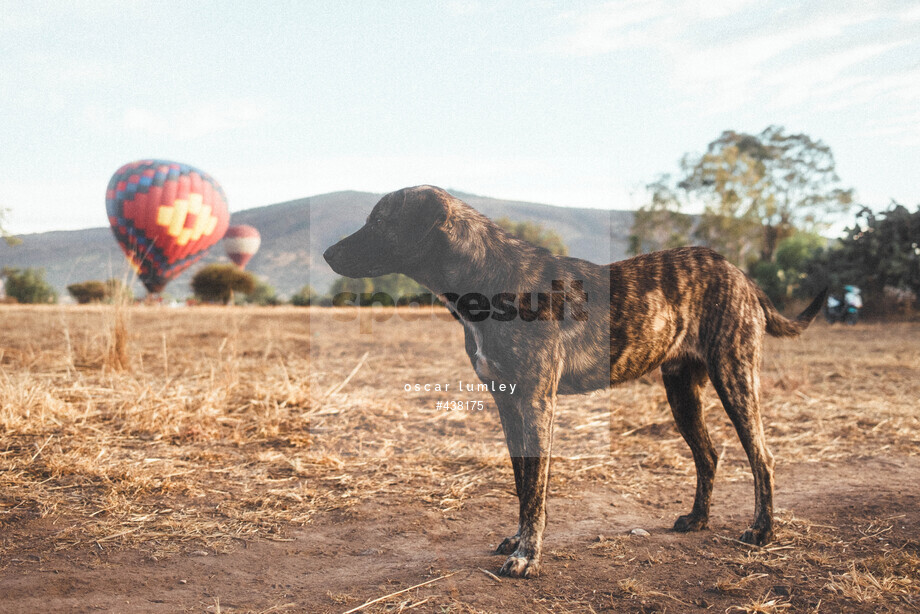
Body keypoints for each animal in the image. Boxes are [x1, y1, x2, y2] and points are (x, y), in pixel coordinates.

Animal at [326, 185, 828, 580]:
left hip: (734, 377)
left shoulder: (536, 402)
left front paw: (528, 556)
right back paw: (698, 519)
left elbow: (536, 489)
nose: (328, 254)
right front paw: (518, 539)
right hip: (682, 392)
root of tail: (739, 273)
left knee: (762, 456)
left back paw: (762, 530)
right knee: (708, 454)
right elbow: (522, 483)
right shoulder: (508, 404)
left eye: (379, 221)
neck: (487, 277)